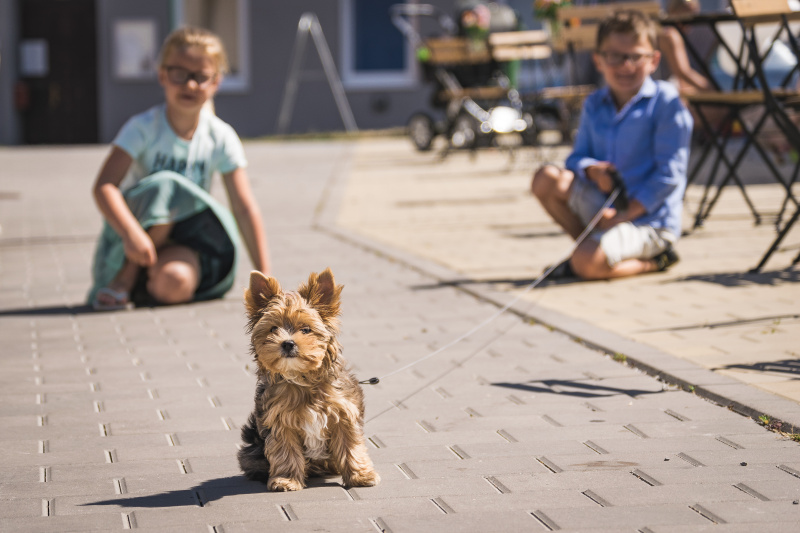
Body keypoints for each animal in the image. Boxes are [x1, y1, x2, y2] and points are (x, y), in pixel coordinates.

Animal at [236, 268, 380, 492]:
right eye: (273, 329)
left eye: (306, 329)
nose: (287, 343)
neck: (302, 378)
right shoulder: (279, 419)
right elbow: (284, 449)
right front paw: (286, 479)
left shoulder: (344, 414)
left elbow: (350, 446)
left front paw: (361, 476)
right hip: (251, 452)